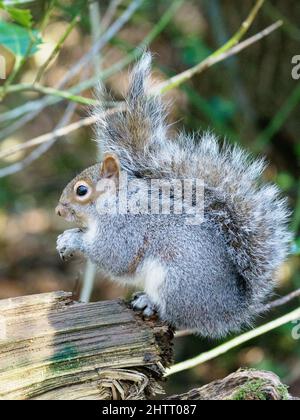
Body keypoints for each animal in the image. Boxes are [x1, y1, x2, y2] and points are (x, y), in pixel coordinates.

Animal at [55, 52, 292, 338]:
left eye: (82, 190)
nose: (58, 210)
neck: (114, 204)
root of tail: (228, 310)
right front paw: (65, 238)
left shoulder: (127, 230)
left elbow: (113, 255)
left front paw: (73, 240)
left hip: (173, 281)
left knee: (175, 316)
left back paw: (149, 302)